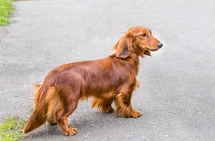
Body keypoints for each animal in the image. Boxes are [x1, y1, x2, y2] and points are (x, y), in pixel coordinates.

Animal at [23, 26, 163, 135]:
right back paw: (69, 131)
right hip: (71, 100)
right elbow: (127, 104)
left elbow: (107, 100)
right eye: (143, 34)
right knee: (60, 116)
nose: (161, 45)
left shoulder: (110, 90)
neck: (125, 60)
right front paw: (133, 113)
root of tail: (52, 73)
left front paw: (108, 109)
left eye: (150, 32)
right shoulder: (126, 90)